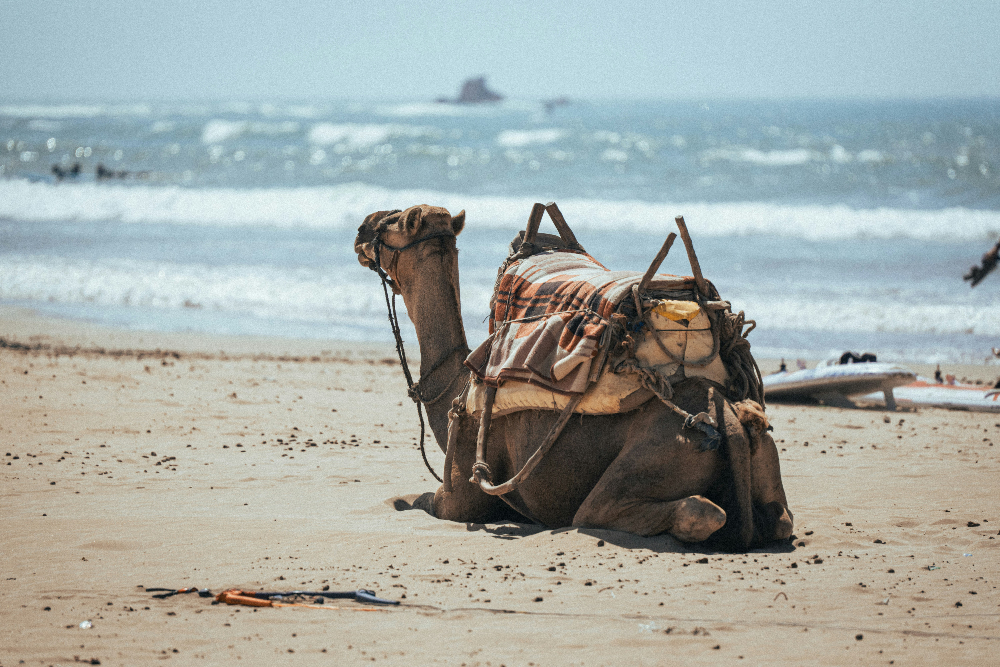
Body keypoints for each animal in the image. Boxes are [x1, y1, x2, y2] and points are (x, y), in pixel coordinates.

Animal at [355, 204, 793, 550]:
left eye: (394, 220)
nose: (361, 227)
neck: (459, 391)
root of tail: (728, 419)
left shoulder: (459, 497)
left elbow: (415, 500)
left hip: (650, 460)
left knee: (670, 510)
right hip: (762, 451)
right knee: (779, 520)